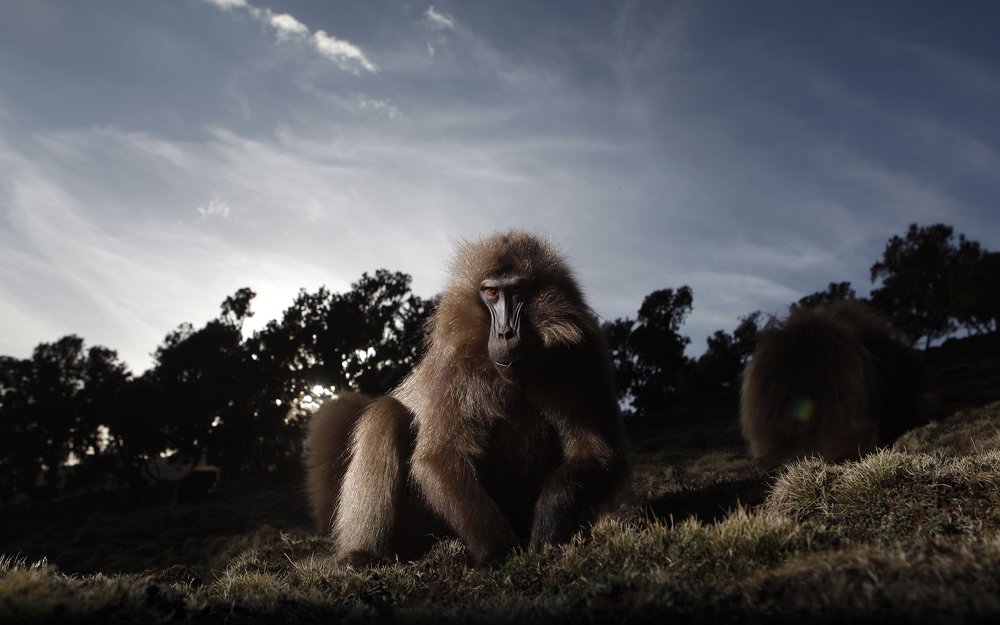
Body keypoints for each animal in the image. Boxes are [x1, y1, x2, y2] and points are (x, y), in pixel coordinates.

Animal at [304, 231, 630, 567]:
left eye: (517, 291)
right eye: (491, 292)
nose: (506, 333)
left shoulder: (584, 351)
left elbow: (598, 455)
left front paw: (550, 523)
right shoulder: (455, 359)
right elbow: (439, 458)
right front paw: (499, 551)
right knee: (386, 413)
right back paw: (362, 554)